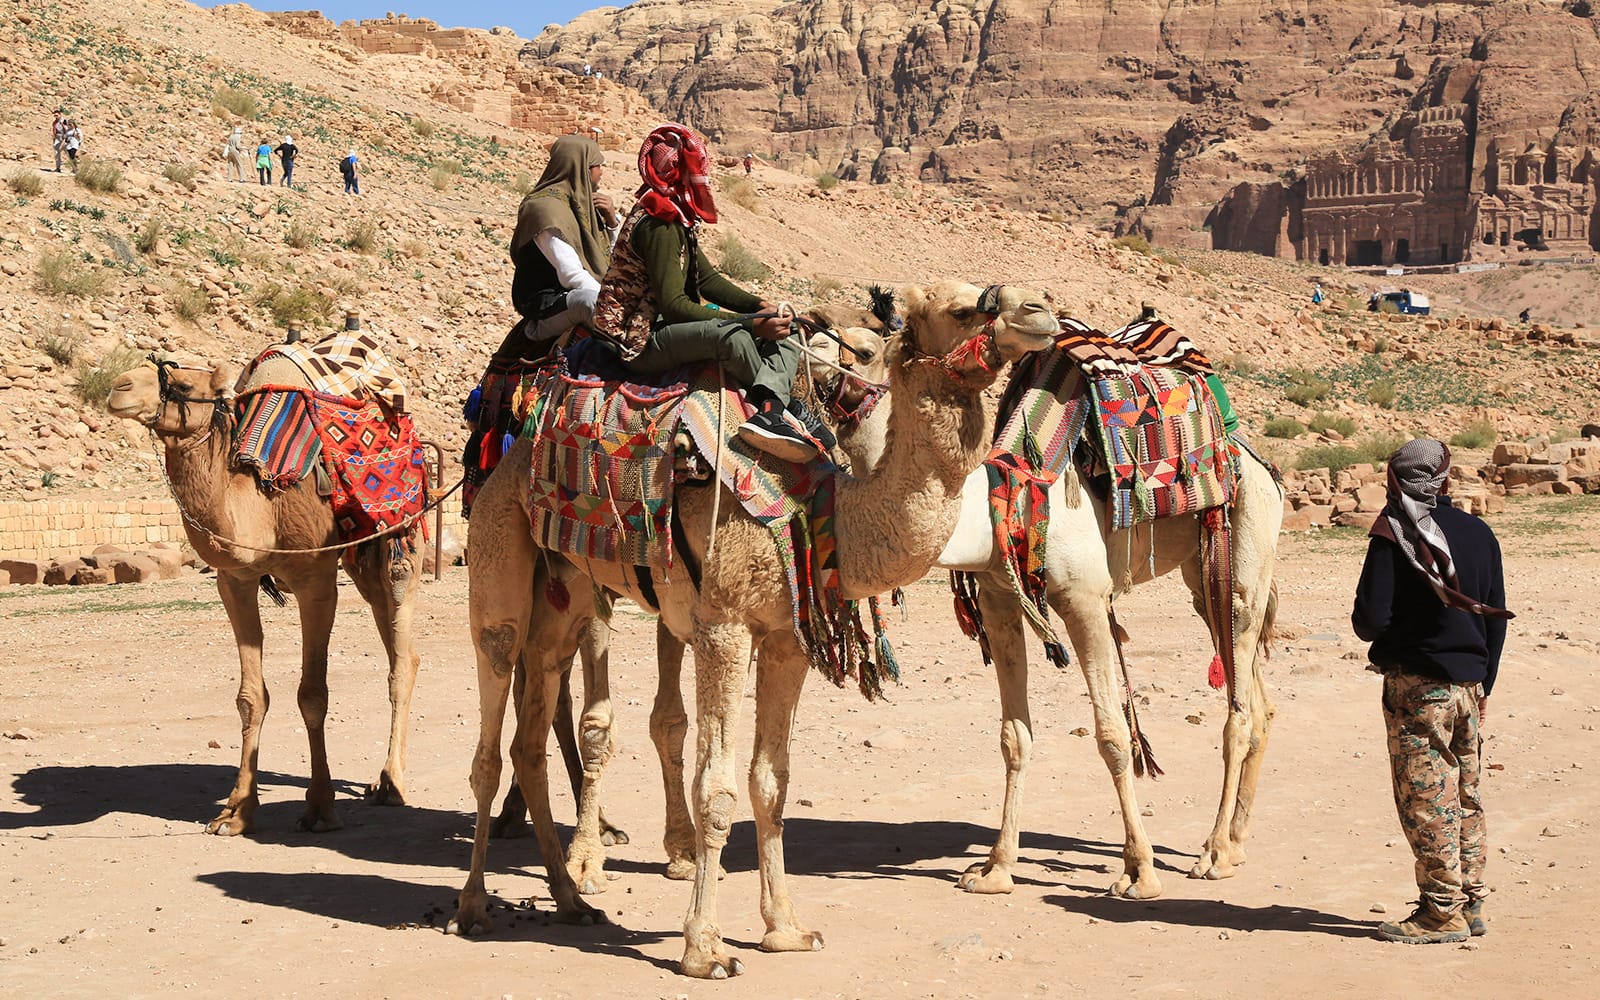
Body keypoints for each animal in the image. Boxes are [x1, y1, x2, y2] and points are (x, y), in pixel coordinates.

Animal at [106, 359, 422, 835]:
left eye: (183, 385)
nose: (117, 387)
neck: (262, 503)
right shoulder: (234, 580)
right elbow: (250, 697)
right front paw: (235, 812)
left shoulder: (315, 579)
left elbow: (313, 695)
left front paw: (320, 808)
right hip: (359, 557)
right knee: (395, 640)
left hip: (400, 536)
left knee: (401, 652)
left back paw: (391, 783)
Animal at [448, 281, 1060, 978]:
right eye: (963, 308)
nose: (1040, 310)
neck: (819, 505)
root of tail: (511, 456)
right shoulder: (725, 625)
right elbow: (714, 789)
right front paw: (704, 948)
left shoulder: (786, 640)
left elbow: (772, 783)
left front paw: (785, 929)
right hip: (498, 567)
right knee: (490, 736)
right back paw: (475, 906)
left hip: (566, 598)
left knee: (529, 741)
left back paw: (572, 900)